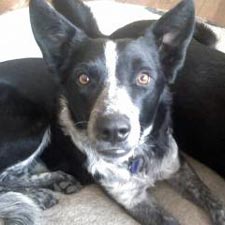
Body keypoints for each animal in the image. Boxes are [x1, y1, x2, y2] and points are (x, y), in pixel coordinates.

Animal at [0, 0, 225, 225]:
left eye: (144, 77)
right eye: (83, 78)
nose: (113, 130)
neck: (140, 156)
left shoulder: (177, 165)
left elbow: (210, 197)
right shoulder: (133, 199)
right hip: (34, 123)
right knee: (5, 179)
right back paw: (41, 192)